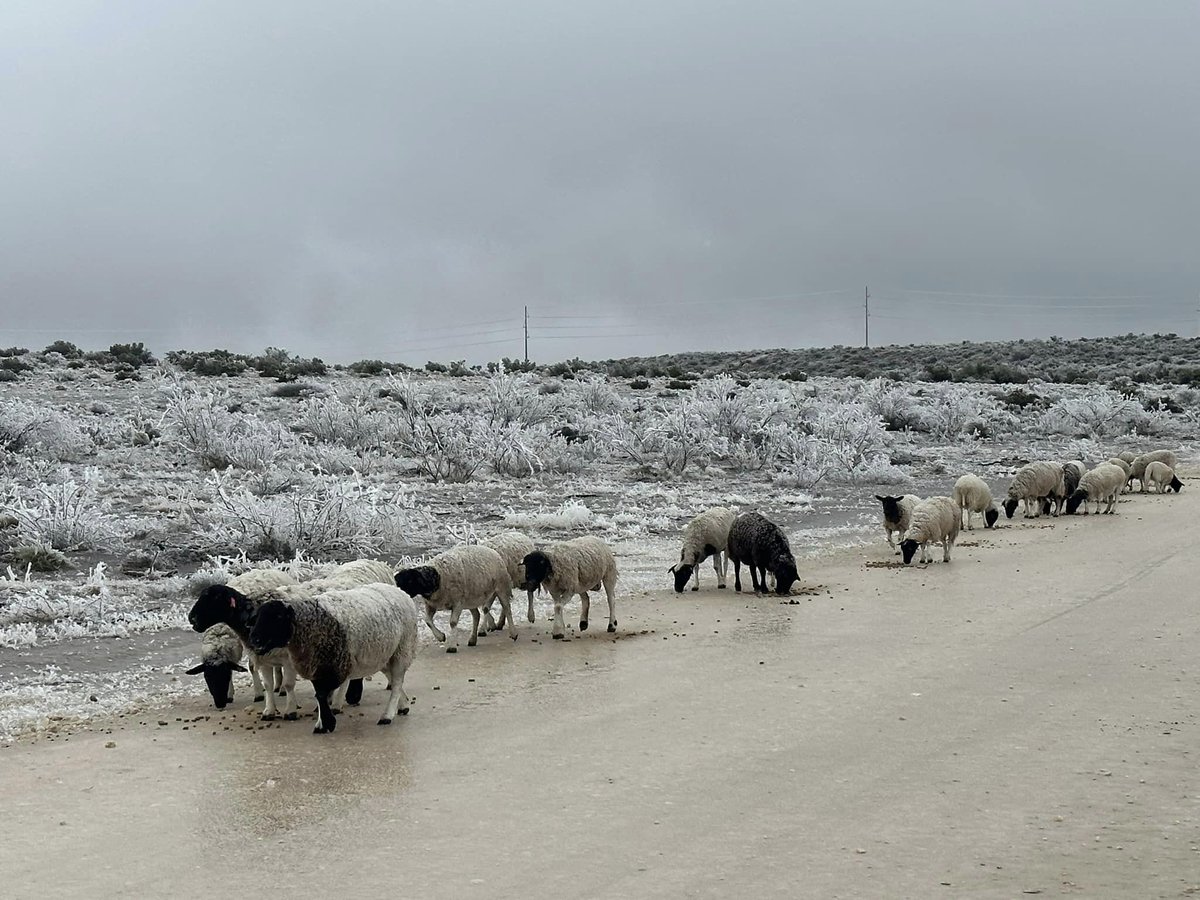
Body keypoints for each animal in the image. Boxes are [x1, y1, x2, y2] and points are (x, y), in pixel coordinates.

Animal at [187, 571, 302, 720]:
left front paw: (289, 709)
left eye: (215, 597)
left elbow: (286, 683)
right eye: (206, 678)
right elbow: (267, 683)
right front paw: (268, 709)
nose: (191, 617)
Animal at [246, 580, 420, 734]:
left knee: (396, 683)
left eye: (278, 617)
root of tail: (399, 591)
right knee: (393, 678)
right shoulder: (317, 666)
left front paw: (325, 723)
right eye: (257, 617)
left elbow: (322, 695)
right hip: (384, 655)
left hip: (402, 649)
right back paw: (403, 705)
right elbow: (319, 695)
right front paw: (324, 724)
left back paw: (387, 715)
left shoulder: (332, 666)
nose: (254, 639)